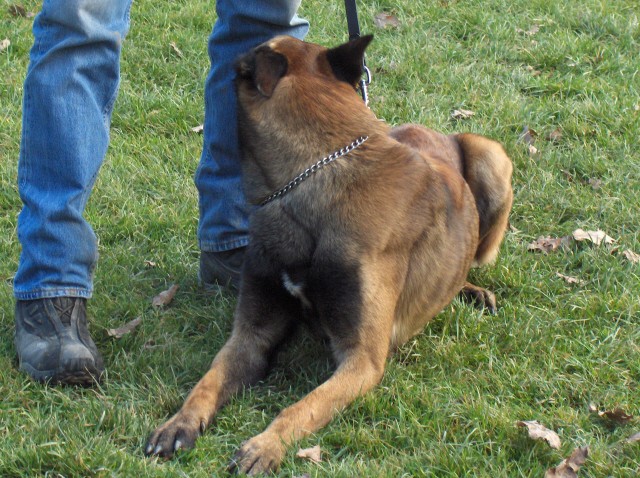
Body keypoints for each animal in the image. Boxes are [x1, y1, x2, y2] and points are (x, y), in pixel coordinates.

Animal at [146, 34, 516, 474]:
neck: (316, 175)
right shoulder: (251, 335)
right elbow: (208, 381)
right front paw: (179, 422)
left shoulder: (362, 359)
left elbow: (301, 407)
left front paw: (265, 445)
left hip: (491, 156)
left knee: (473, 260)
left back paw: (472, 290)